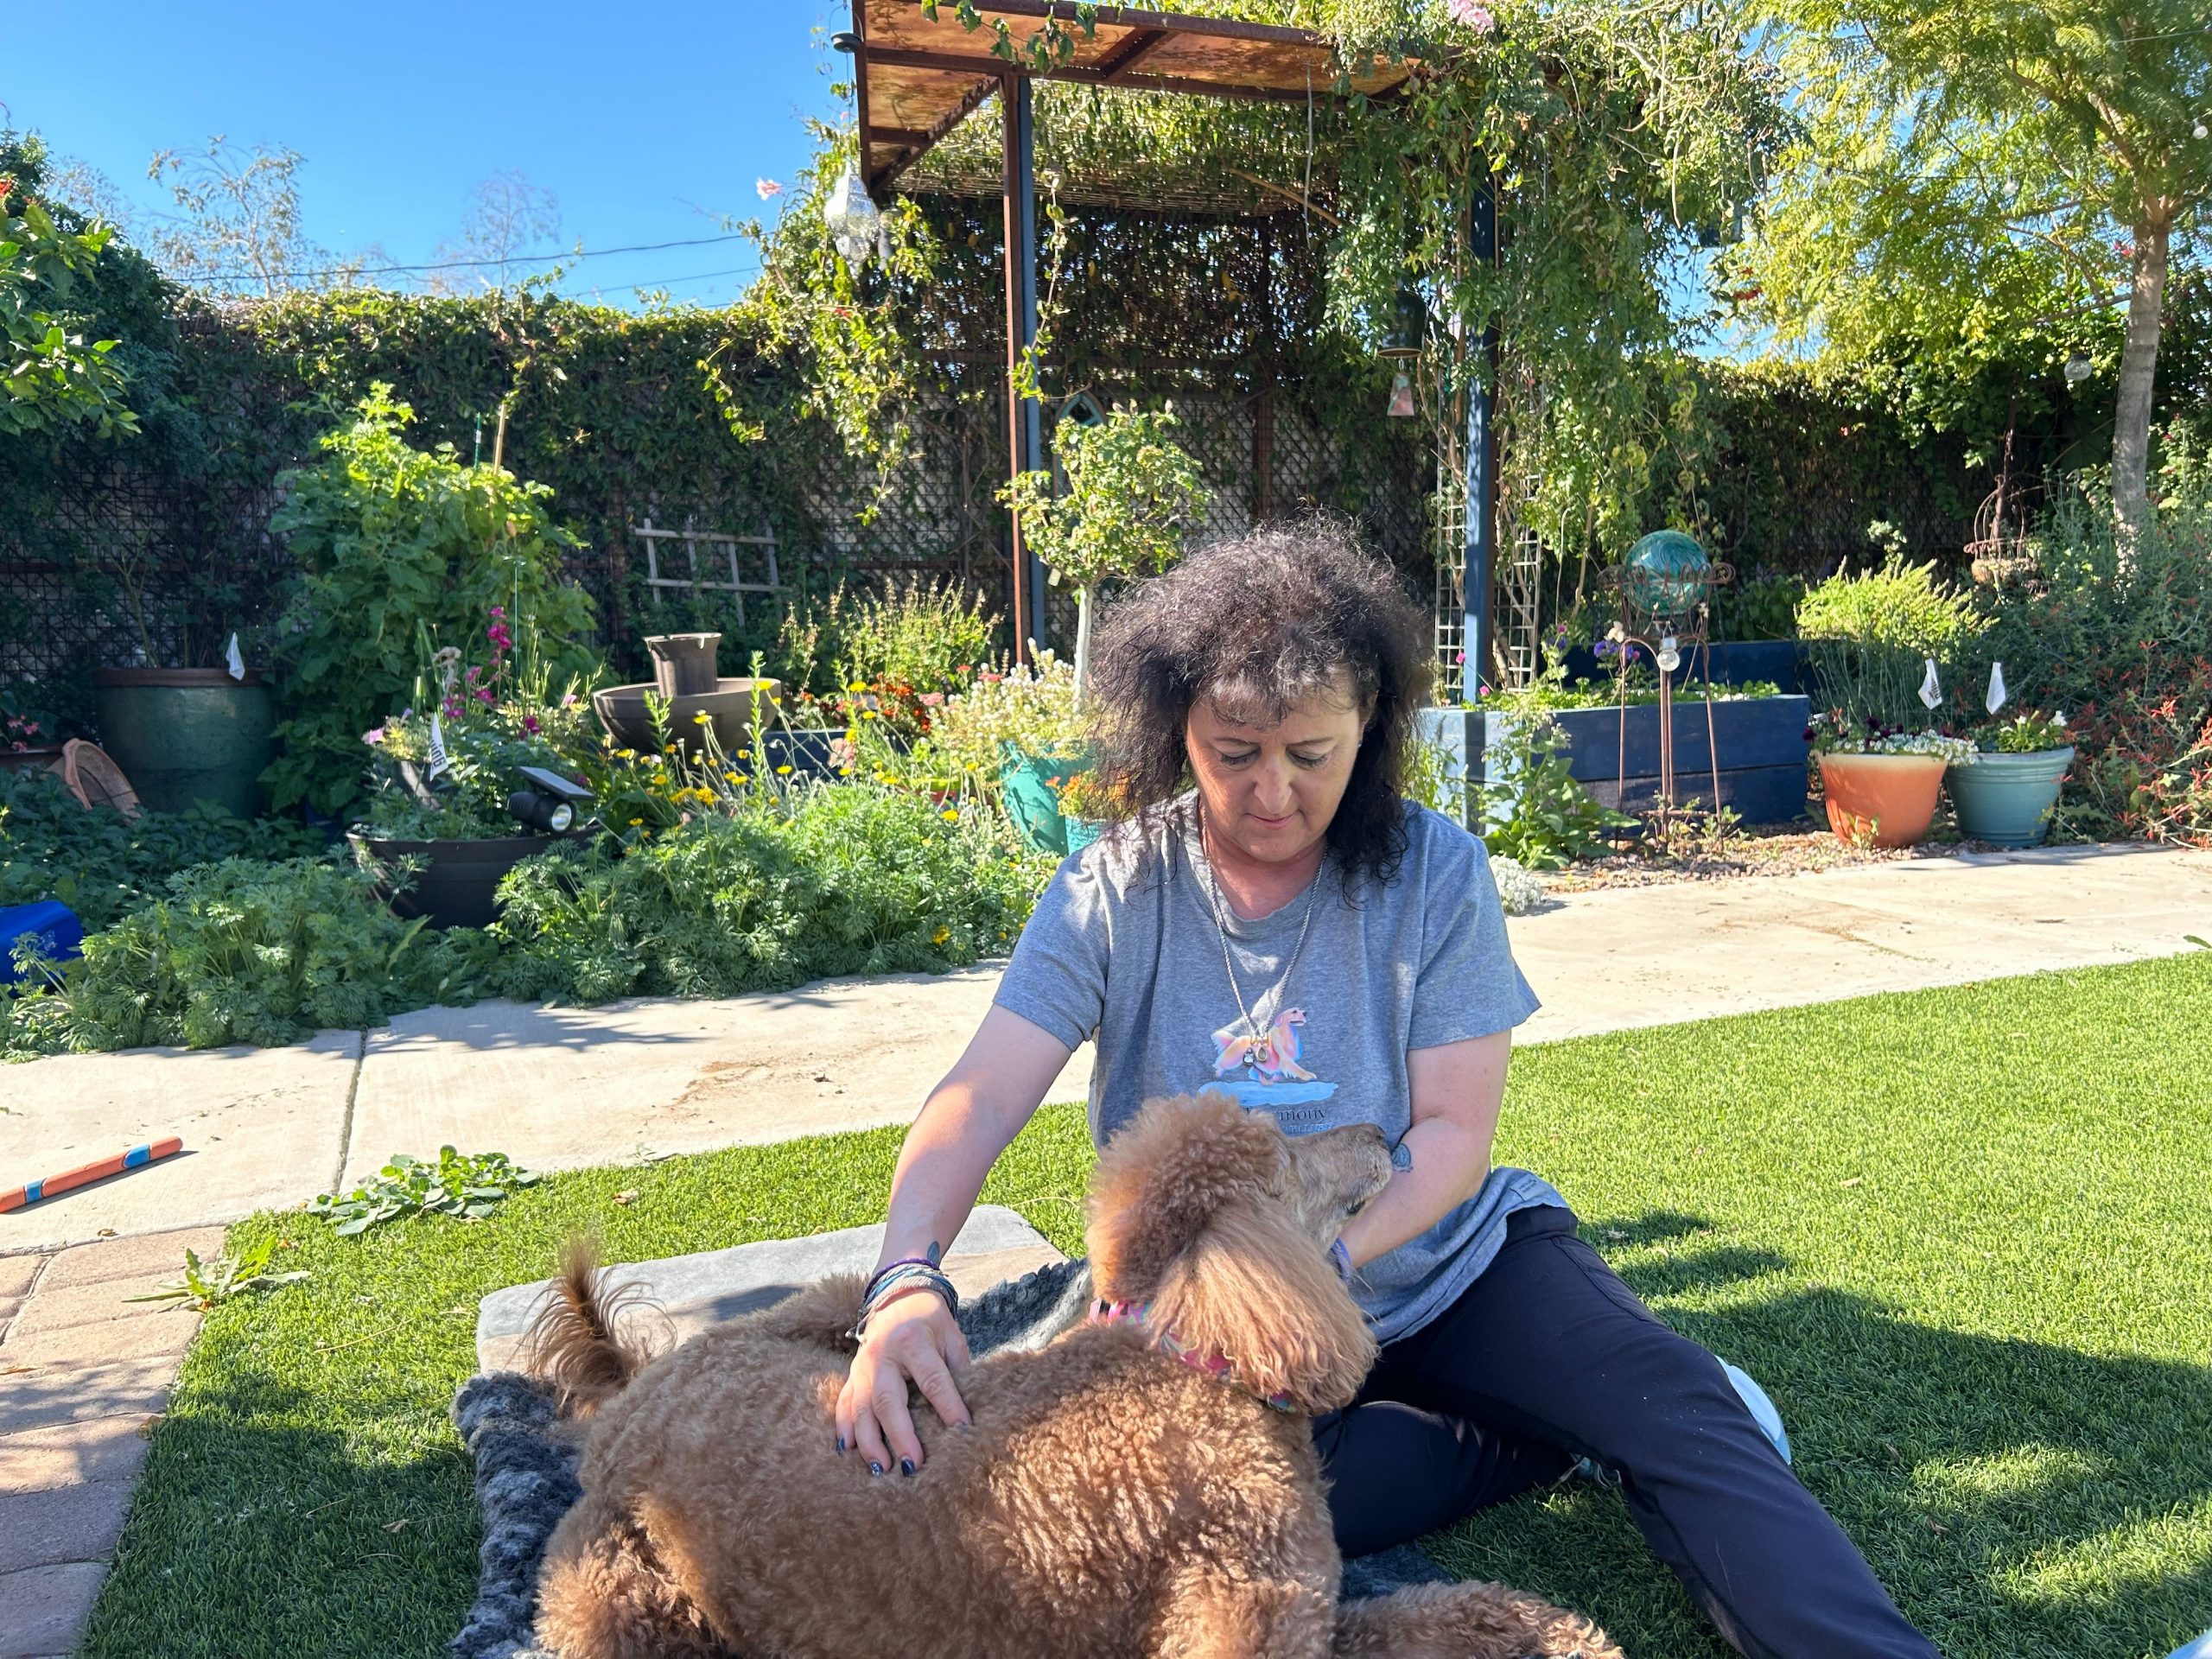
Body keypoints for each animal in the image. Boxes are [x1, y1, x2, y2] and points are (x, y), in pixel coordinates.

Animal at [526, 1091, 1623, 1659]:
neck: (1190, 1365)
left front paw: (1556, 1632)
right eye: (1285, 1154)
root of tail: (627, 1405)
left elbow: (1449, 1608)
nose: (1385, 1135)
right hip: (615, 1608)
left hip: (828, 1315)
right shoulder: (1241, 1628)